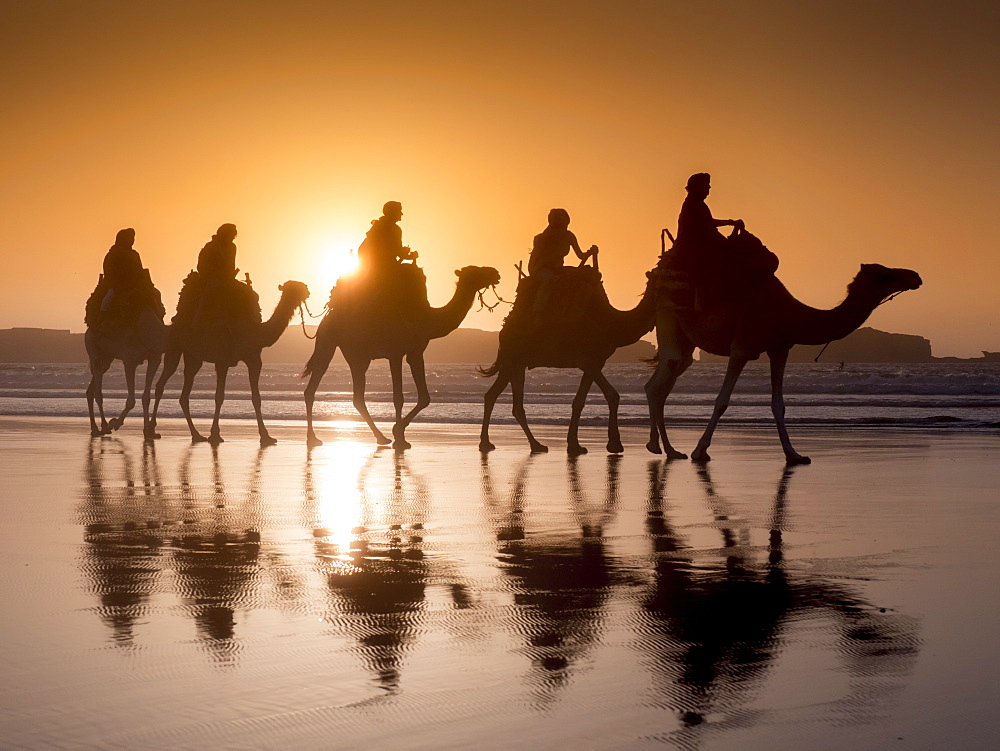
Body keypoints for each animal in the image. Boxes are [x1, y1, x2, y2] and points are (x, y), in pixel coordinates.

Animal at [85, 290, 167, 438]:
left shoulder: (155, 358)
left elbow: (146, 397)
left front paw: (148, 431)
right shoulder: (129, 360)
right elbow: (131, 401)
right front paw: (115, 423)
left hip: (107, 357)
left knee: (91, 389)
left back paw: (95, 428)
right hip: (92, 346)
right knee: (97, 390)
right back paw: (103, 427)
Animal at [149, 282, 308, 446]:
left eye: (301, 286)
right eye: (293, 288)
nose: (307, 292)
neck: (253, 332)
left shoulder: (254, 359)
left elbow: (256, 398)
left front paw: (266, 436)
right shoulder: (222, 360)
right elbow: (219, 396)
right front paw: (215, 434)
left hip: (193, 356)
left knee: (185, 391)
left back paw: (197, 435)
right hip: (174, 345)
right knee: (162, 382)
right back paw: (152, 429)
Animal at [298, 266, 498, 450]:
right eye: (476, 271)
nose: (495, 273)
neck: (425, 319)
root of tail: (327, 318)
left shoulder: (416, 352)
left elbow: (425, 397)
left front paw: (399, 434)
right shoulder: (395, 353)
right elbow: (398, 397)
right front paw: (399, 437)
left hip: (350, 352)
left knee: (349, 395)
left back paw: (377, 437)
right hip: (337, 345)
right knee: (329, 386)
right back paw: (316, 438)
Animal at [482, 270, 660, 458]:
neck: (612, 324)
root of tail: (503, 330)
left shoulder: (596, 362)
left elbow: (606, 396)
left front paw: (608, 444)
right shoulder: (590, 360)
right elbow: (589, 399)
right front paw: (581, 445)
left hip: (516, 363)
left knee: (500, 398)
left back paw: (529, 444)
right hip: (512, 359)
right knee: (499, 397)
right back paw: (500, 443)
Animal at [648, 264, 920, 464]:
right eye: (885, 274)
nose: (915, 276)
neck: (787, 314)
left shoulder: (780, 348)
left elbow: (779, 404)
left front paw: (794, 454)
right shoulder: (742, 347)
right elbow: (722, 401)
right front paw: (700, 451)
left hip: (686, 339)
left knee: (668, 377)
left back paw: (670, 450)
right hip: (667, 315)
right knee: (661, 378)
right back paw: (658, 447)